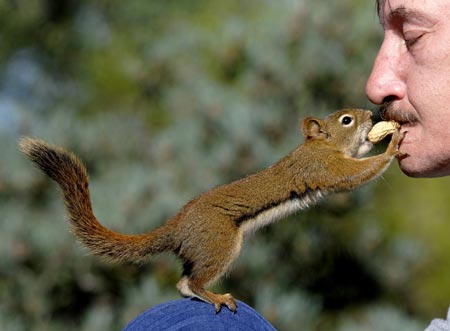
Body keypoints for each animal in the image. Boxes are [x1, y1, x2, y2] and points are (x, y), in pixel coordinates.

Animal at [20, 109, 400, 314]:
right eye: (346, 119)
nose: (371, 114)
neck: (319, 147)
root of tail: (176, 227)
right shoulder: (326, 169)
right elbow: (356, 175)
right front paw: (393, 144)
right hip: (220, 243)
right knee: (193, 282)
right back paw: (216, 296)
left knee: (184, 282)